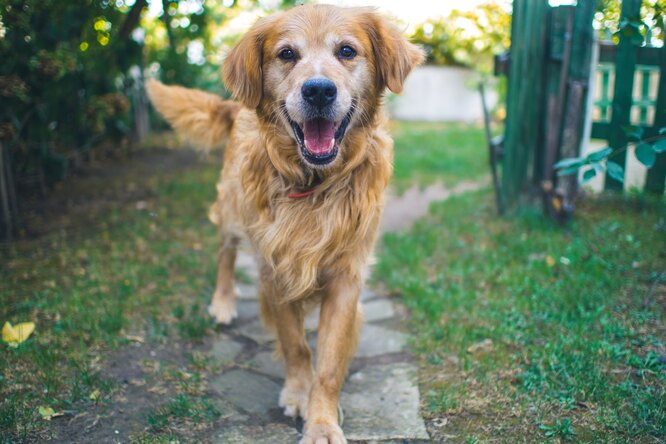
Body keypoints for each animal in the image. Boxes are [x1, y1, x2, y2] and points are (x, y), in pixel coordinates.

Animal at [148, 5, 422, 442]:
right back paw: (223, 302)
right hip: (232, 211)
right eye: (287, 54)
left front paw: (321, 420)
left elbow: (328, 362)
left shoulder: (346, 277)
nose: (319, 90)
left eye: (347, 51)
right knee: (225, 254)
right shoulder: (274, 269)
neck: (314, 185)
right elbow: (296, 345)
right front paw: (298, 393)